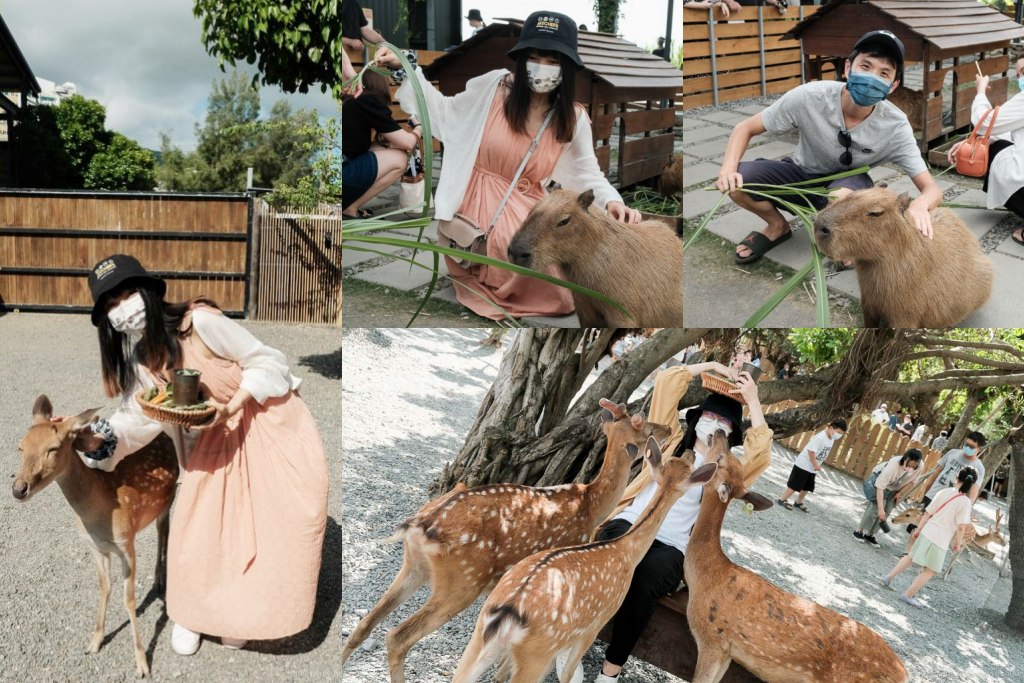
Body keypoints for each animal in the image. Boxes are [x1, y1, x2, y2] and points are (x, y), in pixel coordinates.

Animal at [12, 395, 177, 679]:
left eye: (53, 448)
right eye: (21, 447)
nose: (18, 488)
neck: (98, 514)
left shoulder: (126, 544)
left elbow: (129, 600)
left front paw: (142, 663)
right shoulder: (96, 547)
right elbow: (105, 587)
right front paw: (95, 641)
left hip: (169, 499)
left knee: (163, 531)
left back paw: (159, 579)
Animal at [339, 397, 671, 679]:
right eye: (648, 429)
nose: (669, 428)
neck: (590, 506)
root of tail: (421, 524)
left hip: (415, 566)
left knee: (364, 625)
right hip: (461, 583)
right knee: (398, 637)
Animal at [452, 438, 716, 683]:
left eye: (678, 461)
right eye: (687, 465)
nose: (691, 450)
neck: (626, 552)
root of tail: (506, 613)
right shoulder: (599, 620)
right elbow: (568, 672)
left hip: (479, 637)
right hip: (536, 653)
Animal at [684, 432, 909, 683]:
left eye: (720, 459)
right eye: (733, 462)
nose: (721, 433)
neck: (707, 575)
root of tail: (904, 674)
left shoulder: (711, 638)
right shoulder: (727, 652)